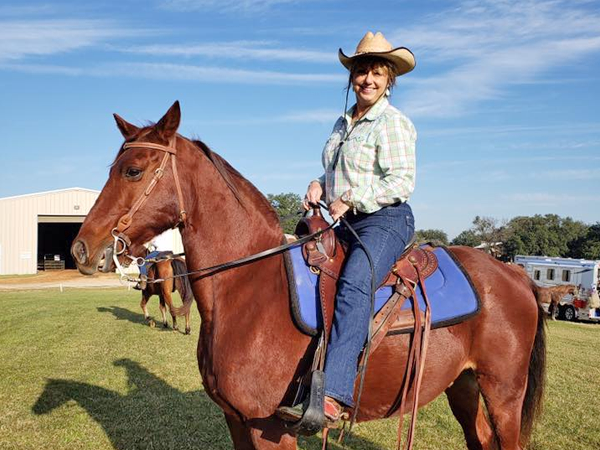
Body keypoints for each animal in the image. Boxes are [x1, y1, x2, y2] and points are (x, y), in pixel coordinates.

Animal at [72, 101, 548, 450]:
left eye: (133, 170)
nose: (81, 248)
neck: (249, 289)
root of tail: (515, 276)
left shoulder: (269, 429)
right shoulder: (235, 421)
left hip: (504, 394)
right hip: (463, 387)